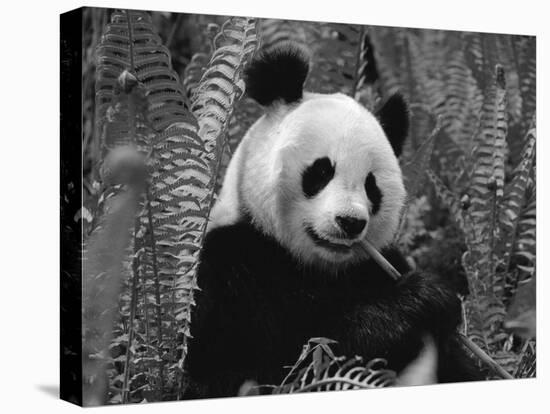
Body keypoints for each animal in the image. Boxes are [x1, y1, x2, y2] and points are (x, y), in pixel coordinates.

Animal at [183, 42, 480, 398]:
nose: (350, 221)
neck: (317, 266)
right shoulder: (232, 267)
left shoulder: (374, 265)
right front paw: (423, 300)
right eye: (322, 171)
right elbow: (295, 356)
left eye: (371, 185)